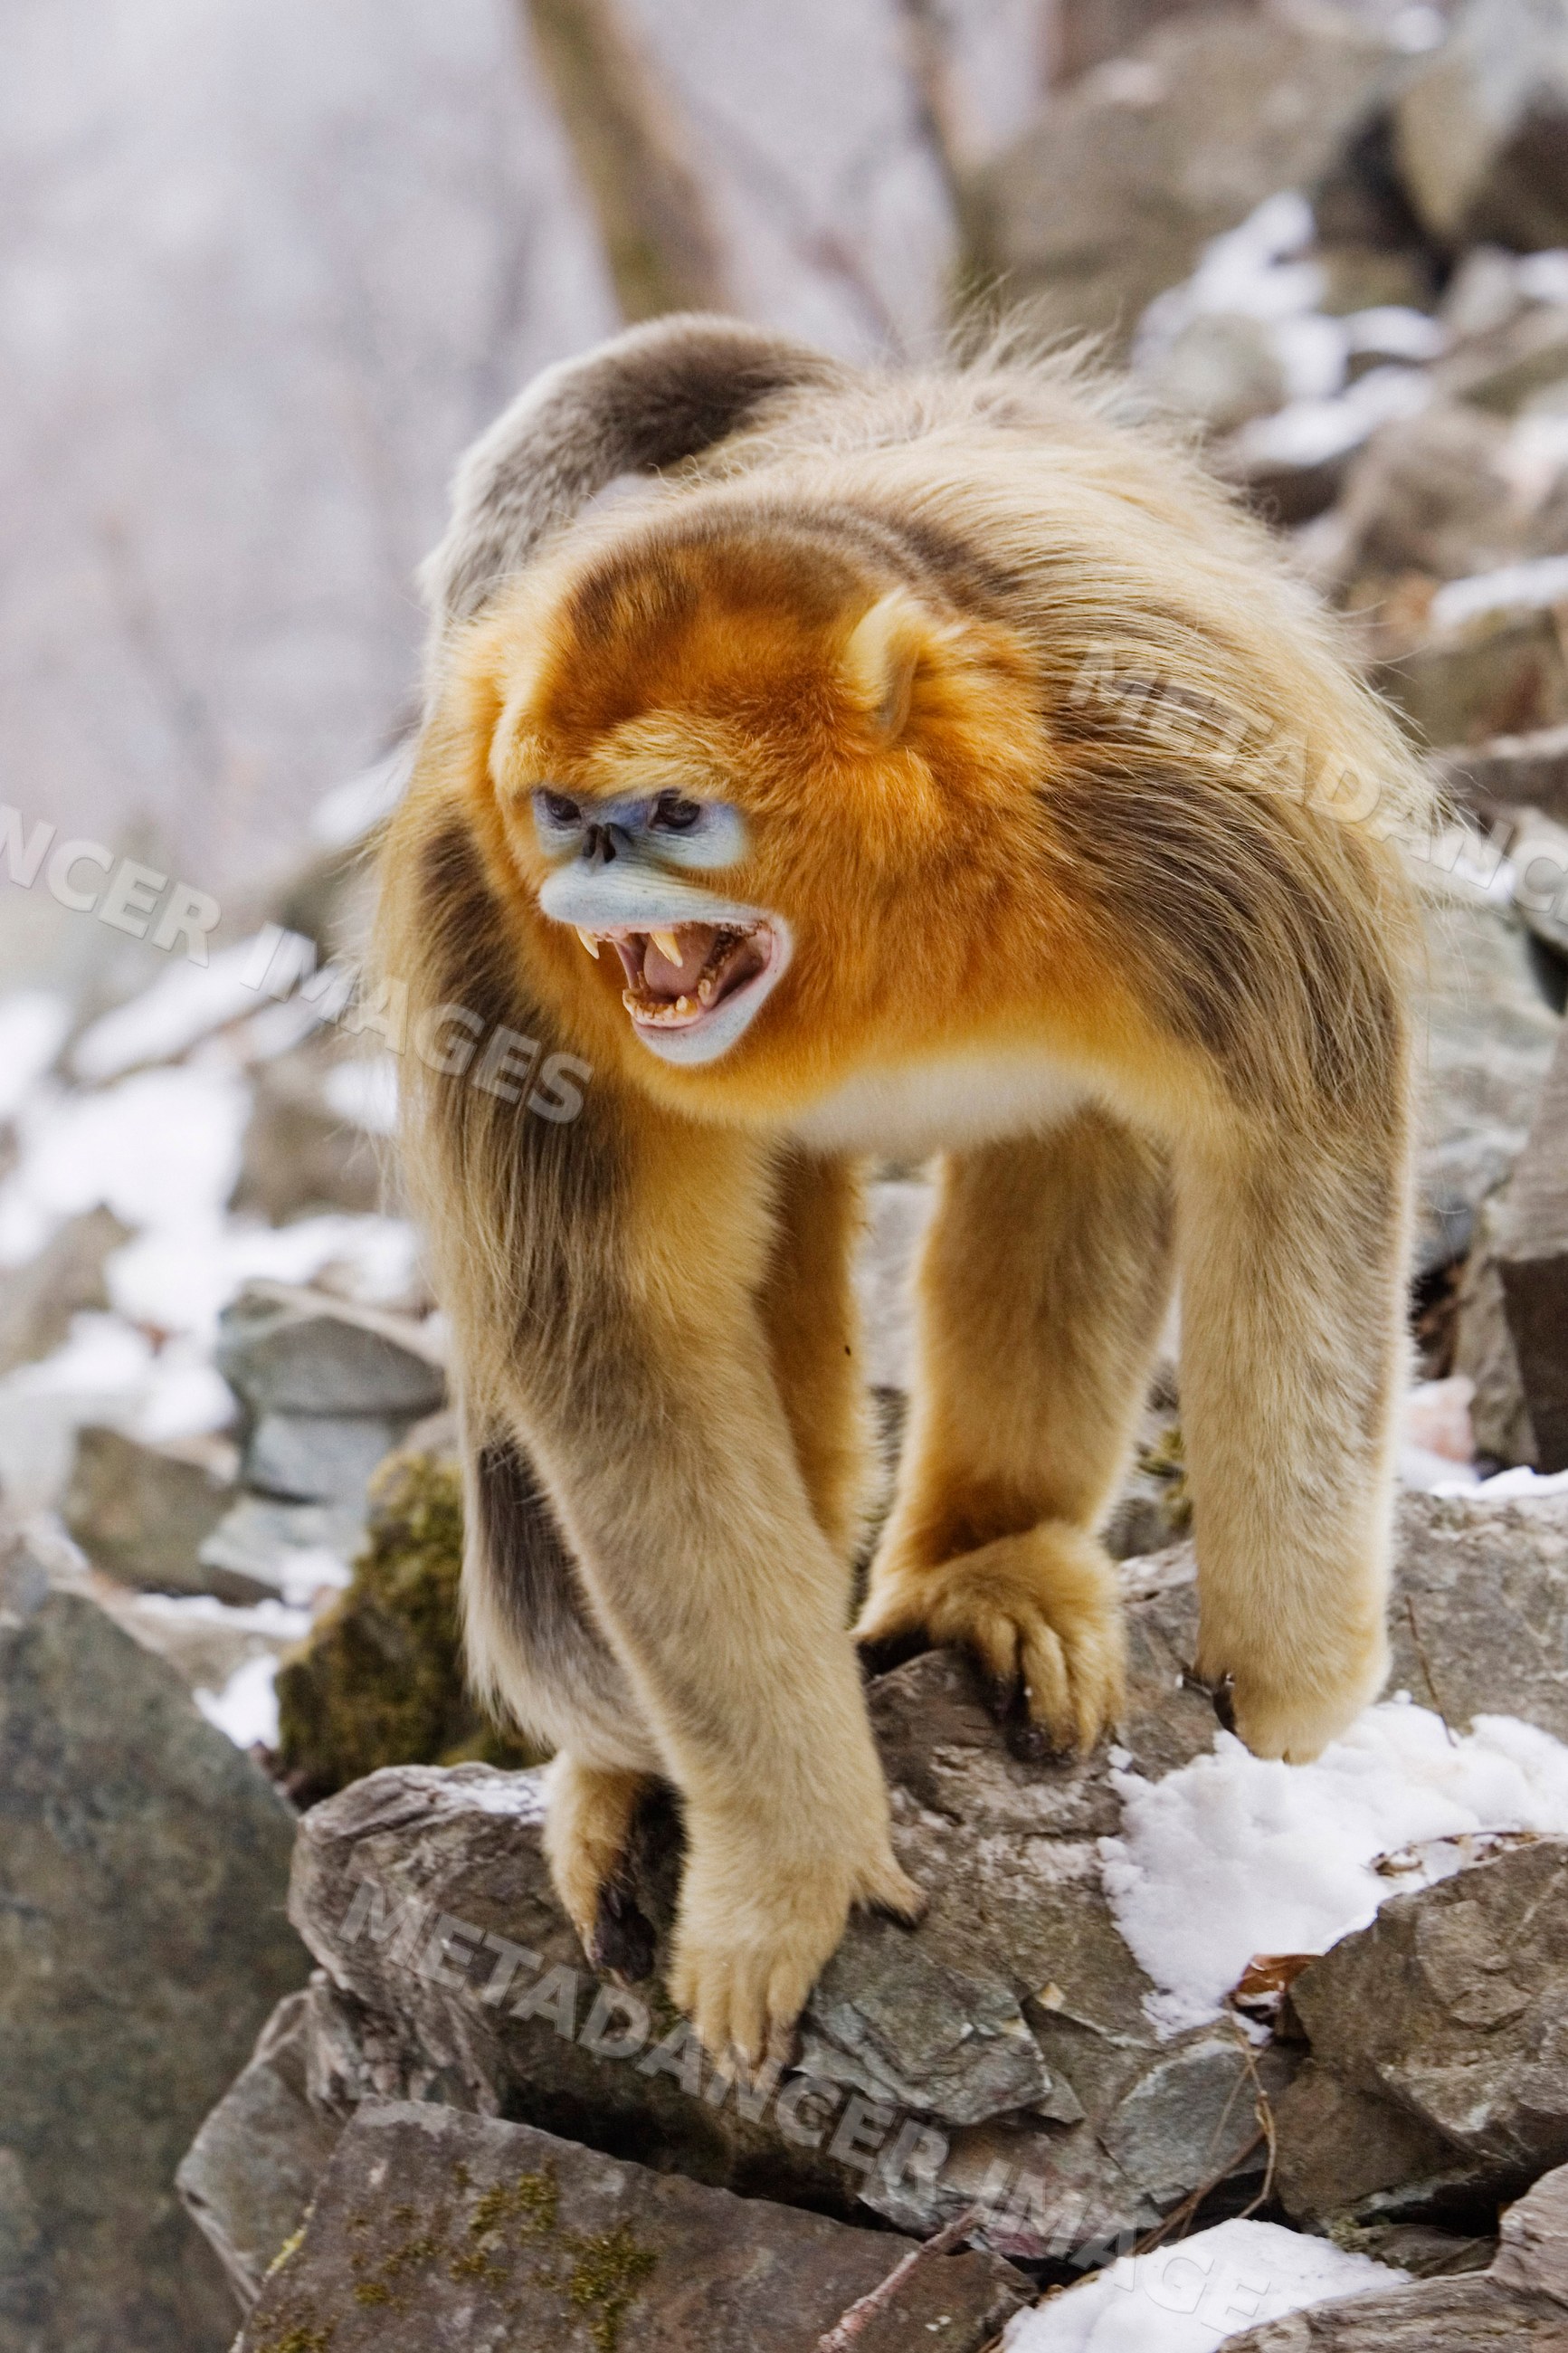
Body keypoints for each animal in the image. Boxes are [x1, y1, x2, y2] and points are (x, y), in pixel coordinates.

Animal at [376, 313, 1431, 2070]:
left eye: (672, 813)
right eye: (560, 812)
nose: (586, 877)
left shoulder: (1193, 806)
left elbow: (1299, 1149)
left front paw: (1291, 1707)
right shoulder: (486, 926)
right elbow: (618, 1342)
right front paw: (783, 1863)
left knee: (1080, 1140)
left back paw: (984, 1572)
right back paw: (633, 1760)